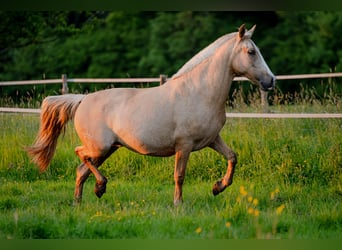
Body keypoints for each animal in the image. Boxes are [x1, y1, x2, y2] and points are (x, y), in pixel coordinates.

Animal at [26, 23, 276, 205]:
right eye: (251, 52)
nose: (271, 81)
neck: (199, 92)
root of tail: (82, 100)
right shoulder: (184, 145)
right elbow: (179, 175)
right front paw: (178, 205)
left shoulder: (212, 139)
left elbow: (232, 157)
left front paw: (217, 188)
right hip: (100, 147)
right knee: (80, 154)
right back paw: (100, 186)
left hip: (108, 149)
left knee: (81, 171)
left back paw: (82, 200)